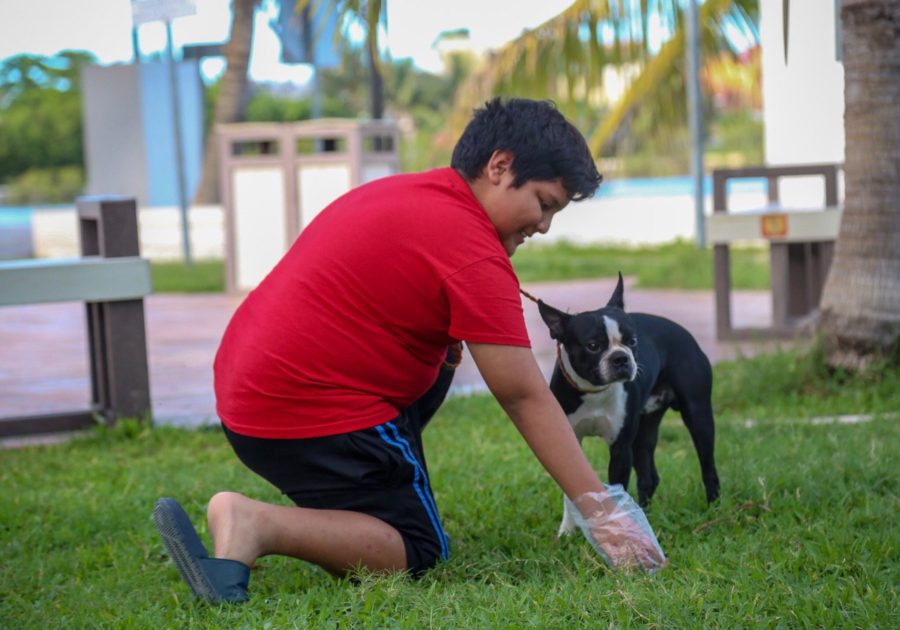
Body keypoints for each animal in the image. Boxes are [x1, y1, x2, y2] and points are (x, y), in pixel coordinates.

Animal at [536, 274, 720, 536]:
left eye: (632, 341)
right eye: (593, 346)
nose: (621, 358)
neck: (594, 391)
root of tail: (685, 333)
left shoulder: (621, 448)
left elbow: (617, 491)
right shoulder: (568, 440)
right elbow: (571, 495)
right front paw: (568, 532)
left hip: (699, 416)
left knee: (708, 468)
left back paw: (714, 509)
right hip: (645, 427)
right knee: (648, 476)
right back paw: (646, 514)